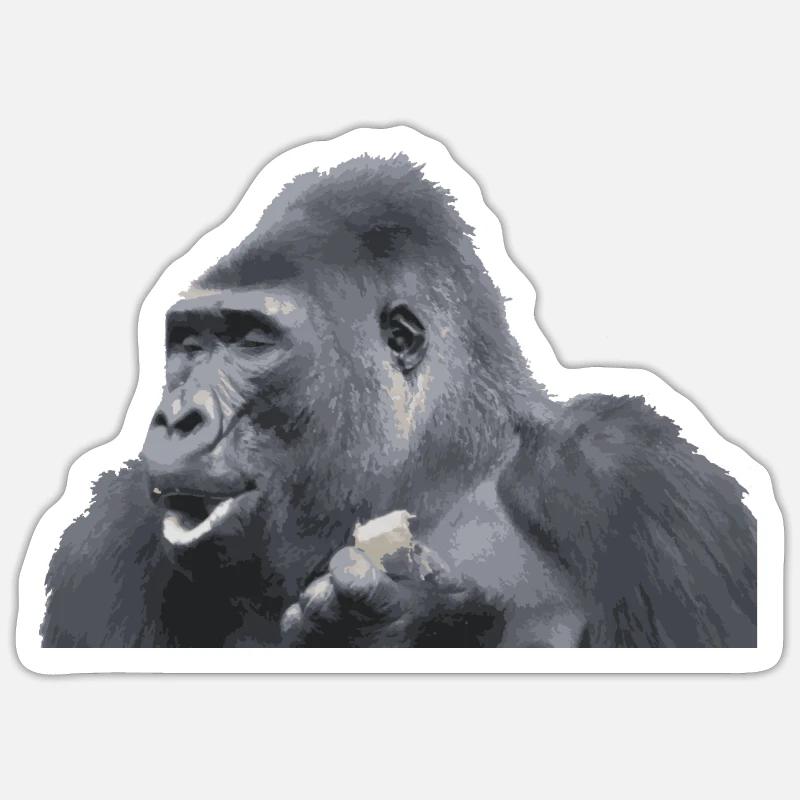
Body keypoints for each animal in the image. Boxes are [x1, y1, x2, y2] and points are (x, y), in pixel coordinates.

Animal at [39, 153, 756, 648]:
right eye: (187, 344)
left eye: (251, 341)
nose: (175, 418)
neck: (439, 473)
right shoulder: (102, 542)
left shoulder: (637, 477)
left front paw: (414, 620)